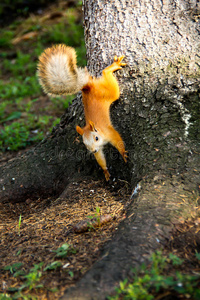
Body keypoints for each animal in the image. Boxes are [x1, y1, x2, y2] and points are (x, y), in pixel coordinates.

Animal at [37, 44, 127, 180]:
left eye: (96, 138)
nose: (93, 150)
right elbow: (100, 158)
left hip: (110, 92)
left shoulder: (109, 132)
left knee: (106, 75)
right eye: (85, 143)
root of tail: (87, 87)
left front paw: (123, 153)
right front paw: (105, 171)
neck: (100, 133)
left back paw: (112, 67)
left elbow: (118, 140)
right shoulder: (98, 150)